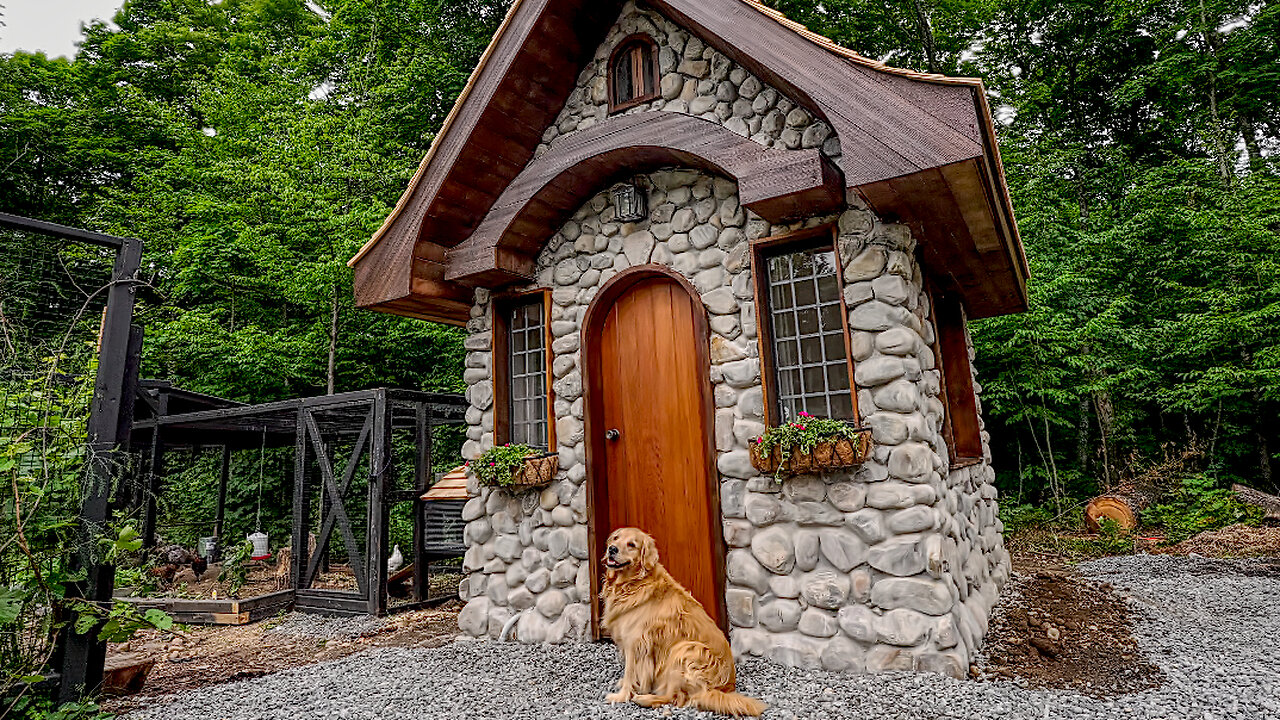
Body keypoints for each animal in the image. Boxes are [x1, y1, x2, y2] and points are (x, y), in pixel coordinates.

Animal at [596, 525, 757, 712]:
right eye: (615, 538)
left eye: (631, 545)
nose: (612, 549)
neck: (634, 583)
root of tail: (726, 687)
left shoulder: (636, 644)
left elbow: (630, 672)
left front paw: (621, 696)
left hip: (685, 649)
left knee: (675, 698)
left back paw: (645, 699)